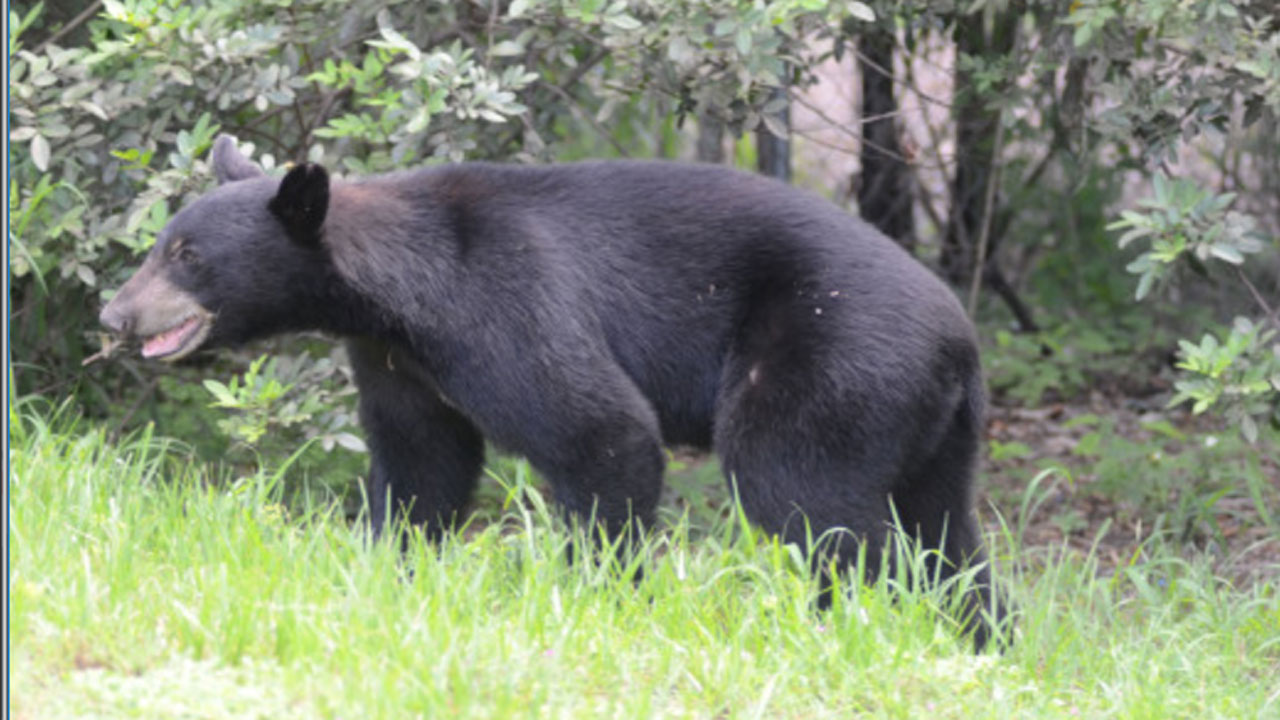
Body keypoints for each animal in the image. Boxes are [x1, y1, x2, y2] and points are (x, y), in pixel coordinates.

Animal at [102, 133, 998, 645]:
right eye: (160, 244)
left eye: (188, 256)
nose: (115, 312)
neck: (397, 295)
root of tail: (961, 341)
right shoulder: (399, 362)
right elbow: (421, 465)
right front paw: (388, 571)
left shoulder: (502, 301)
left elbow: (600, 430)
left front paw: (602, 600)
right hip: (925, 425)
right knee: (946, 536)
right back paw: (980, 637)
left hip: (829, 357)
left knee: (811, 500)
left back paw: (859, 627)